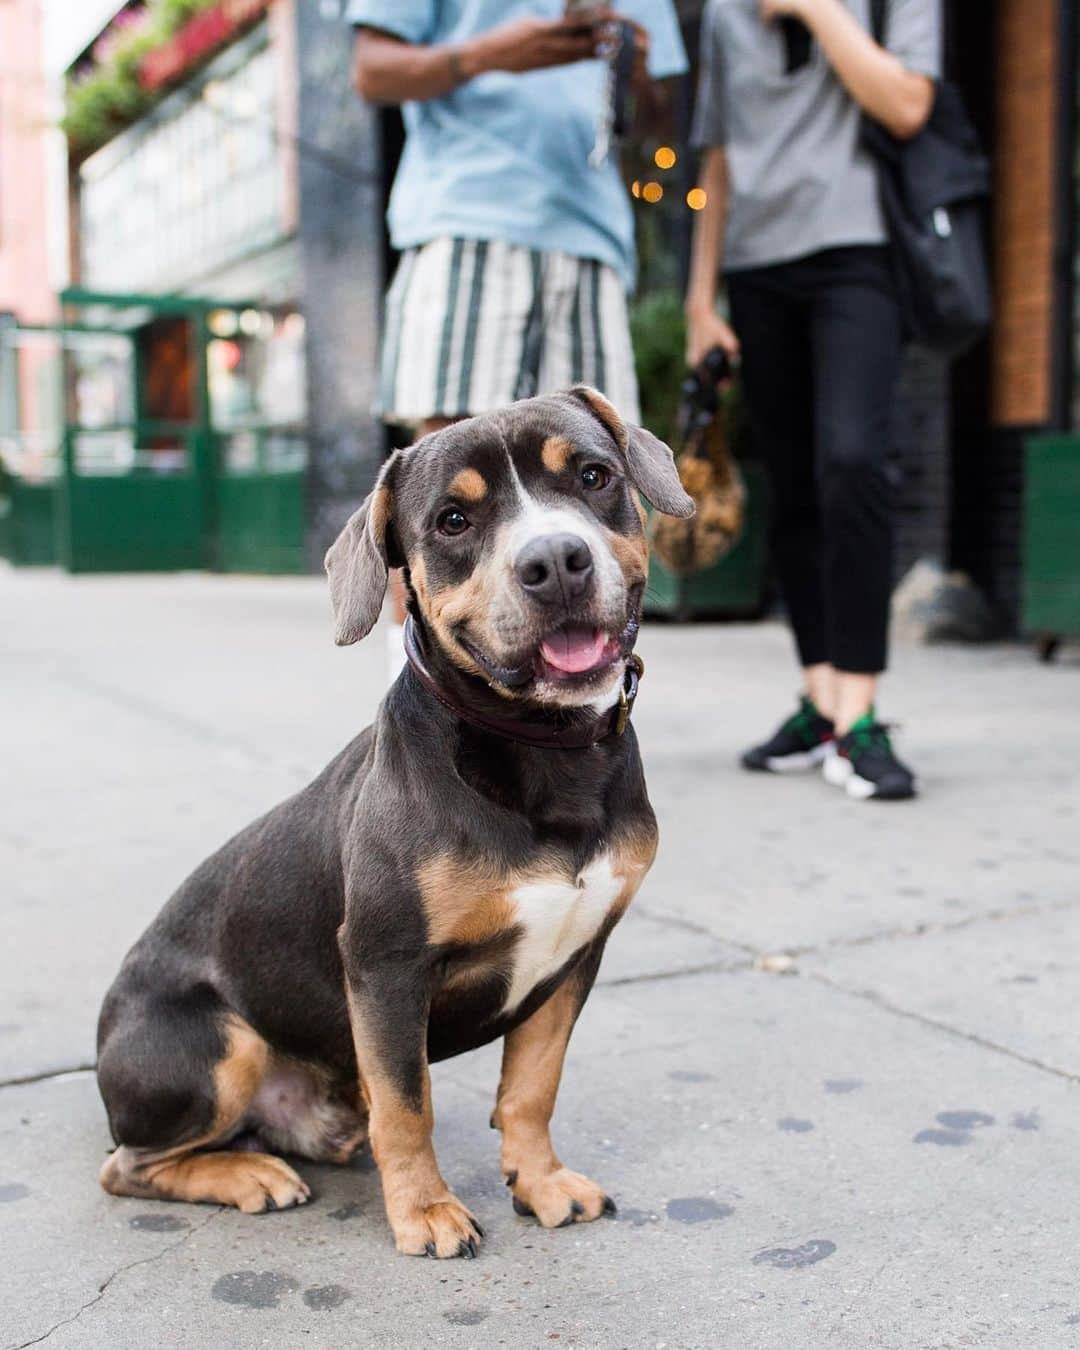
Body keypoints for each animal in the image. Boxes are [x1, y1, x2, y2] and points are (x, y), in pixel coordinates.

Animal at [99, 386, 691, 1258]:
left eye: (593, 476)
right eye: (452, 520)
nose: (555, 561)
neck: (538, 746)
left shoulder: (575, 957)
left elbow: (532, 1086)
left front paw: (541, 1182)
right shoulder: (386, 966)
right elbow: (409, 1106)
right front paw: (425, 1212)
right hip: (216, 1048)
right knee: (129, 1165)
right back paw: (248, 1175)